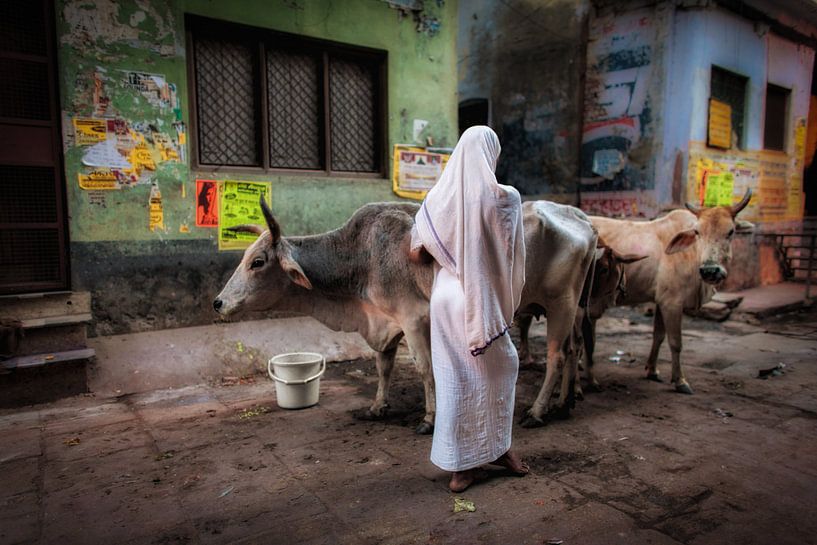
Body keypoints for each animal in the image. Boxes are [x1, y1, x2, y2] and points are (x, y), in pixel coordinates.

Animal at [213, 200, 437, 434]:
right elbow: (383, 367)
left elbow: (425, 368)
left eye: (257, 262)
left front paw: (430, 418)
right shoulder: (384, 325)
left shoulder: (413, 318)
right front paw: (377, 407)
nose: (218, 303)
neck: (362, 256)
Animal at [585, 190, 755, 394]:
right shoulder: (672, 302)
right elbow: (675, 342)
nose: (710, 270)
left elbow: (658, 336)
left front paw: (652, 371)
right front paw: (680, 381)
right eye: (697, 232)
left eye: (731, 232)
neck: (691, 253)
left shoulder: (661, 300)